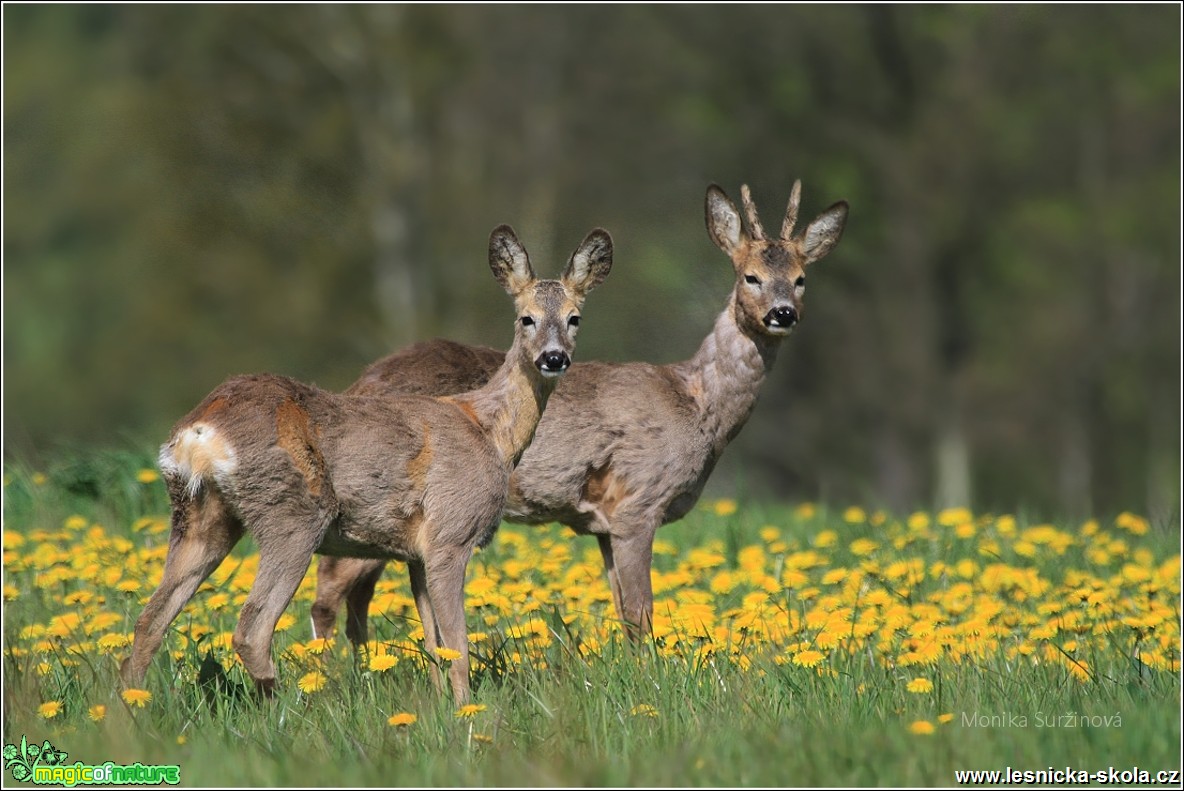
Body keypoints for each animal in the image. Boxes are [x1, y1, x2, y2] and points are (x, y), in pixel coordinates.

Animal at [122, 222, 610, 696]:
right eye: (526, 317)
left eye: (575, 318)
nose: (553, 358)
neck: (491, 432)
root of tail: (200, 429)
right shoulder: (451, 533)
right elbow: (457, 647)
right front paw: (469, 712)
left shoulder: (416, 554)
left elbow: (433, 646)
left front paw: (440, 709)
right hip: (292, 512)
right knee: (251, 630)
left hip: (201, 514)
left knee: (148, 624)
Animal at [314, 183, 847, 644]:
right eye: (749, 277)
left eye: (801, 280)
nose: (782, 313)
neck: (697, 404)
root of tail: (360, 380)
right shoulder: (638, 501)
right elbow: (641, 612)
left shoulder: (604, 523)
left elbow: (622, 611)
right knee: (328, 592)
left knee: (356, 596)